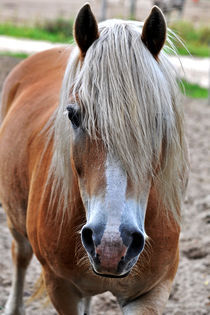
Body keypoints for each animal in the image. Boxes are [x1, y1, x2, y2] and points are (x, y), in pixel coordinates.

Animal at [0, 3, 189, 314]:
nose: (112, 244)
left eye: (158, 120)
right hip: (16, 218)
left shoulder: (152, 292)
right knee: (20, 255)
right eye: (73, 116)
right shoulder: (61, 288)